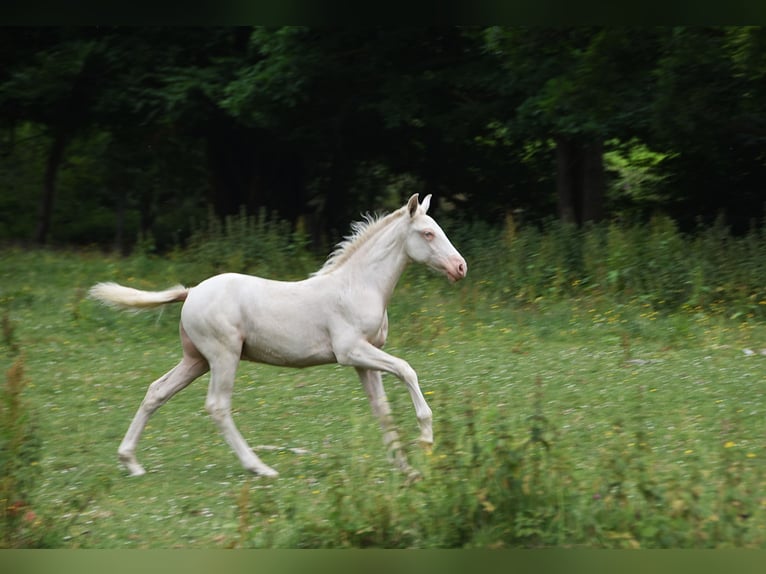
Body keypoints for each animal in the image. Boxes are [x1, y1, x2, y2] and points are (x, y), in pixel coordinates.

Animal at [89, 193, 467, 479]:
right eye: (428, 233)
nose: (460, 267)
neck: (359, 285)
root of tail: (191, 292)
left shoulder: (364, 361)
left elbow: (383, 410)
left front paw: (407, 469)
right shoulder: (350, 352)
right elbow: (407, 369)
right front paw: (426, 438)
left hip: (196, 360)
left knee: (156, 391)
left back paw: (131, 462)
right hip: (224, 356)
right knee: (217, 406)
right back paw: (260, 468)